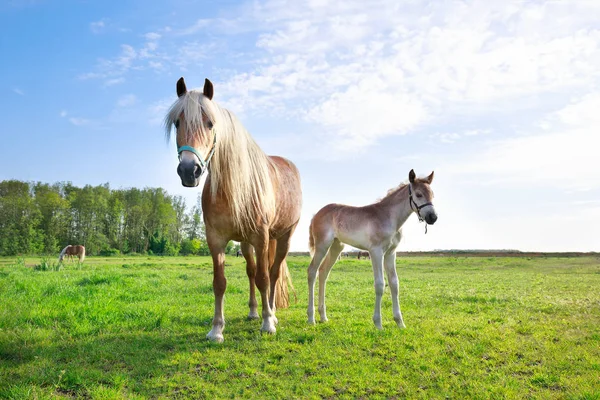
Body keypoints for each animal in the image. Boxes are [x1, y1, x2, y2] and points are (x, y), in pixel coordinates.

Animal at [164, 79, 302, 344]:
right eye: (177, 122)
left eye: (210, 123)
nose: (189, 170)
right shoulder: (215, 239)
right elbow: (220, 282)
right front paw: (217, 329)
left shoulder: (261, 237)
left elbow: (264, 279)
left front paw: (268, 324)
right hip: (246, 243)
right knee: (251, 271)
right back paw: (253, 311)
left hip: (283, 237)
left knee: (273, 273)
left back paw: (272, 313)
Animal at [310, 170, 436, 330]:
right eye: (418, 194)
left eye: (432, 194)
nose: (433, 217)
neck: (389, 218)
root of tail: (316, 214)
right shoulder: (376, 252)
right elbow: (380, 284)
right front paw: (378, 323)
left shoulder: (390, 253)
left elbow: (394, 284)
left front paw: (400, 322)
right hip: (322, 245)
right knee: (312, 271)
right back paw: (311, 318)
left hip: (336, 247)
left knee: (323, 272)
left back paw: (323, 317)